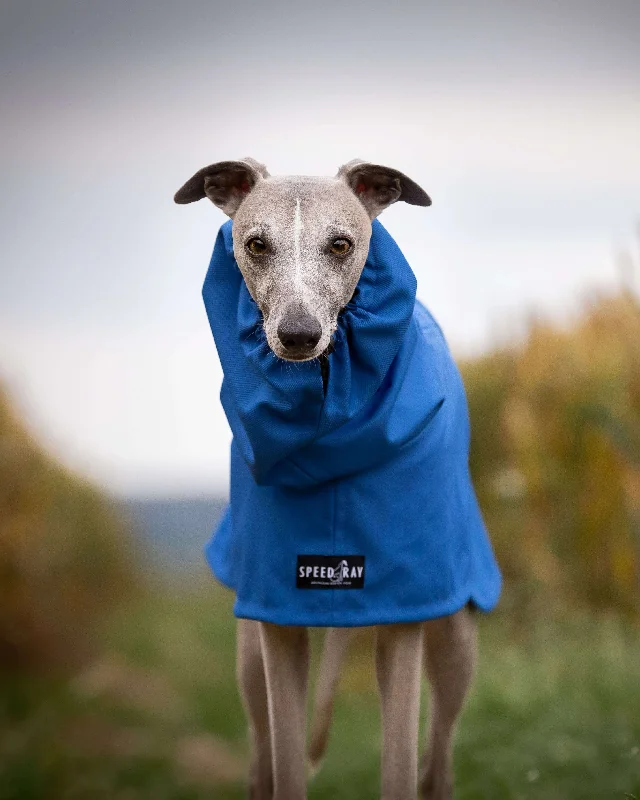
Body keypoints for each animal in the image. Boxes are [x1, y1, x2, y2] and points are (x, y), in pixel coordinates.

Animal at [175, 158, 496, 800]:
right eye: (256, 243)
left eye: (341, 244)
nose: (298, 336)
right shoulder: (274, 620)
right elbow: (288, 766)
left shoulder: (404, 621)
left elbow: (399, 766)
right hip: (248, 663)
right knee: (261, 754)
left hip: (455, 637)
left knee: (437, 758)